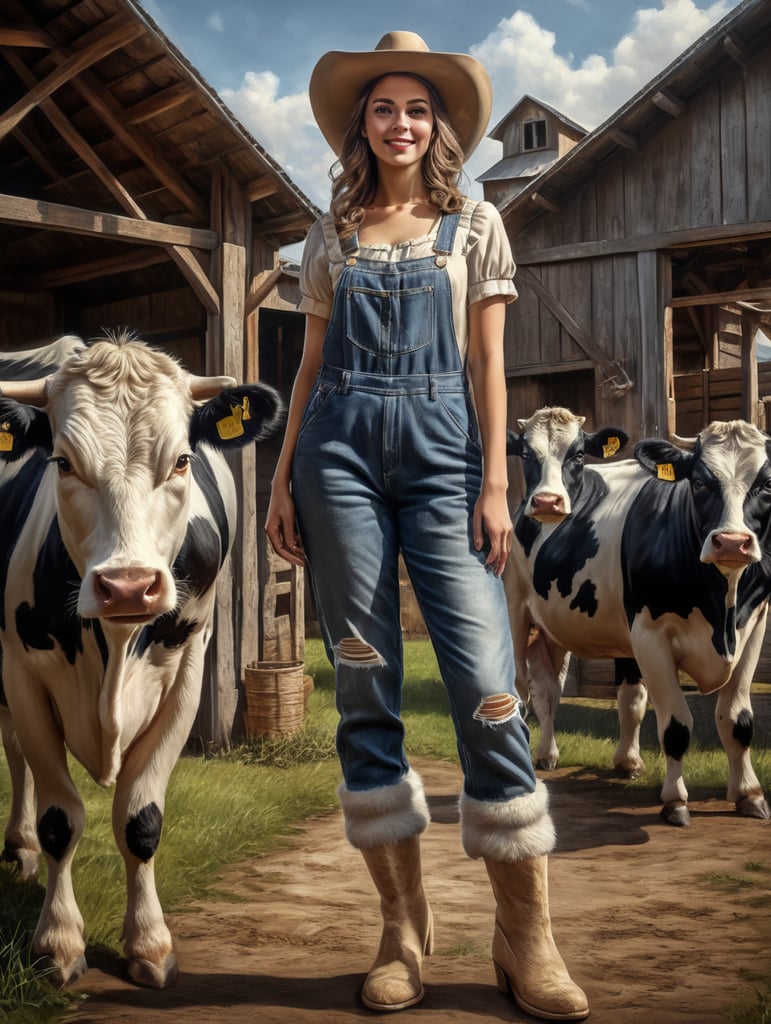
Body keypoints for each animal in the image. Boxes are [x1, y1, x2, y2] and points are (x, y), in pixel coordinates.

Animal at [0, 333, 282, 983]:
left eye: (181, 461)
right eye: (62, 462)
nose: (128, 587)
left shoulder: (188, 675)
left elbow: (141, 818)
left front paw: (149, 943)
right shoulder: (22, 671)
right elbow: (60, 818)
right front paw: (59, 942)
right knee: (15, 752)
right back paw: (19, 847)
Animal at [505, 405, 769, 823]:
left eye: (767, 484)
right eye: (699, 482)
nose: (731, 542)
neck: (721, 608)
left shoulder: (754, 625)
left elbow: (738, 720)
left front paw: (749, 794)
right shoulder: (650, 634)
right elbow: (676, 725)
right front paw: (675, 800)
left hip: (559, 629)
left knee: (560, 692)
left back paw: (593, 758)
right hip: (516, 607)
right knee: (519, 686)